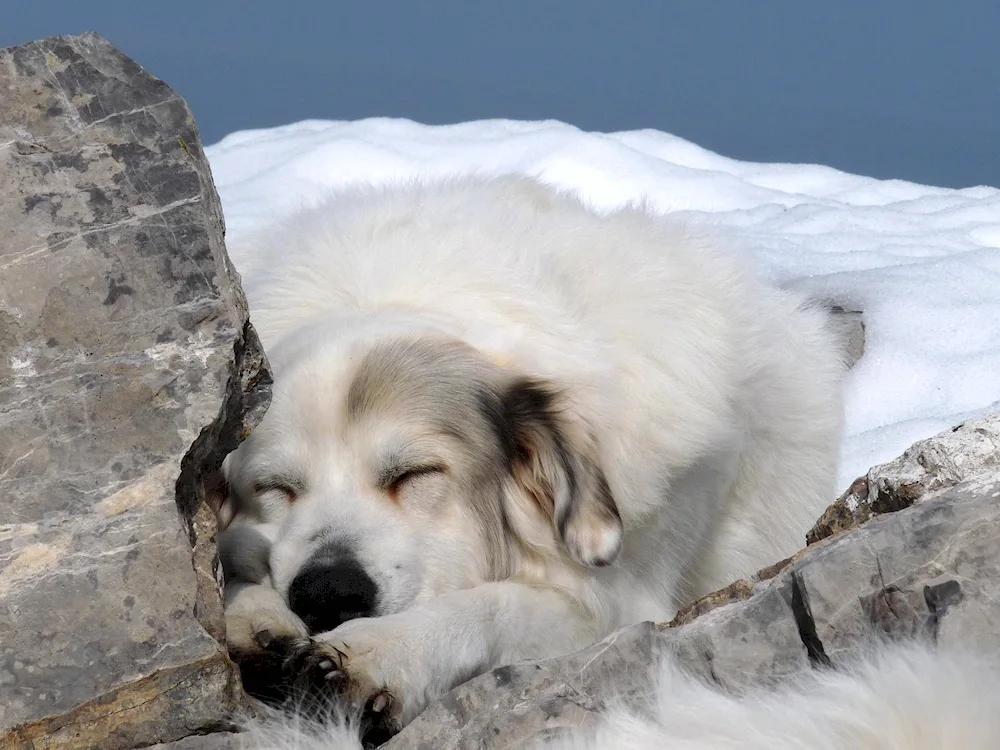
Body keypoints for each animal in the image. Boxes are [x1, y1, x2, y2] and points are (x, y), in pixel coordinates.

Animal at [213, 175, 852, 740]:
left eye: (416, 474)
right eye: (275, 488)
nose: (327, 593)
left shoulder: (618, 607)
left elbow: (492, 607)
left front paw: (383, 651)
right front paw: (257, 619)